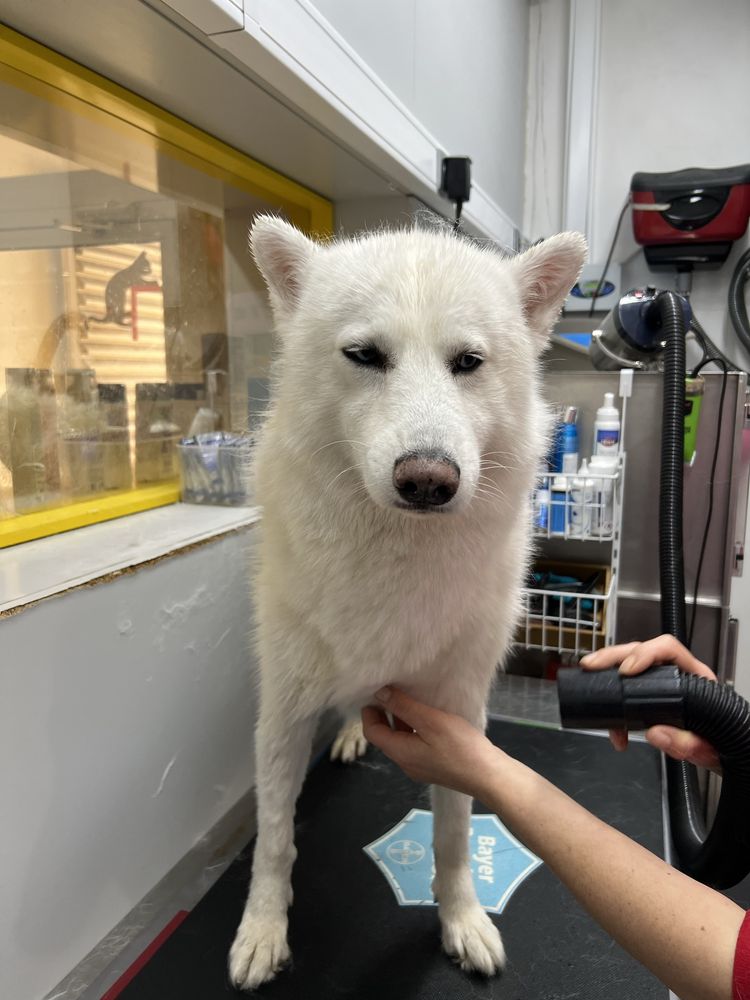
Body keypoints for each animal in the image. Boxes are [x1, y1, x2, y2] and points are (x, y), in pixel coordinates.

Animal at [229, 215, 588, 988]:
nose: (428, 479)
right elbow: (274, 839)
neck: (397, 555)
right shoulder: (281, 715)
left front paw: (461, 919)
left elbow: (453, 836)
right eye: (365, 355)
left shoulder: (457, 716)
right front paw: (263, 928)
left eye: (469, 362)